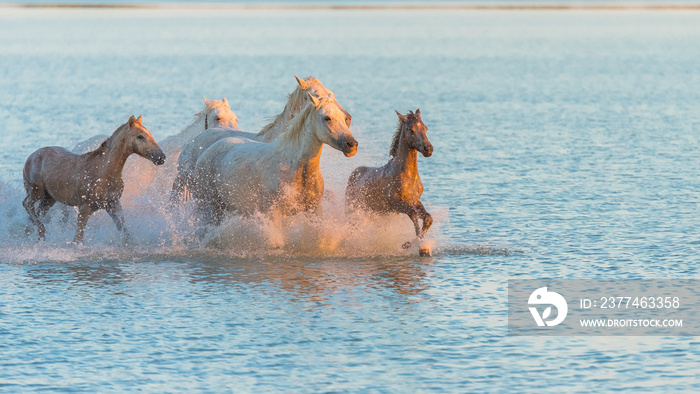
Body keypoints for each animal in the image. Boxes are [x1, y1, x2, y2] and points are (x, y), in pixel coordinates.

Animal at [22, 114, 165, 243]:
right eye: (140, 136)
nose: (161, 157)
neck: (103, 173)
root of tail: (30, 157)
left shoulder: (113, 204)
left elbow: (125, 232)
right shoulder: (84, 207)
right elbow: (78, 238)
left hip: (49, 198)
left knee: (37, 212)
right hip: (36, 191)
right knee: (27, 204)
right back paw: (41, 231)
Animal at [191, 94, 356, 245]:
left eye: (344, 118)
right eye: (327, 118)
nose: (352, 145)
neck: (294, 167)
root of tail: (205, 152)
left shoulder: (314, 209)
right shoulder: (274, 213)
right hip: (213, 207)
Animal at [344, 109, 432, 258]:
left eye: (425, 128)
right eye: (410, 130)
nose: (428, 149)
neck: (408, 176)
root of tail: (353, 174)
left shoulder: (415, 200)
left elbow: (427, 218)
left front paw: (413, 245)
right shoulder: (394, 202)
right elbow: (413, 215)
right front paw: (418, 247)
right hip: (353, 210)